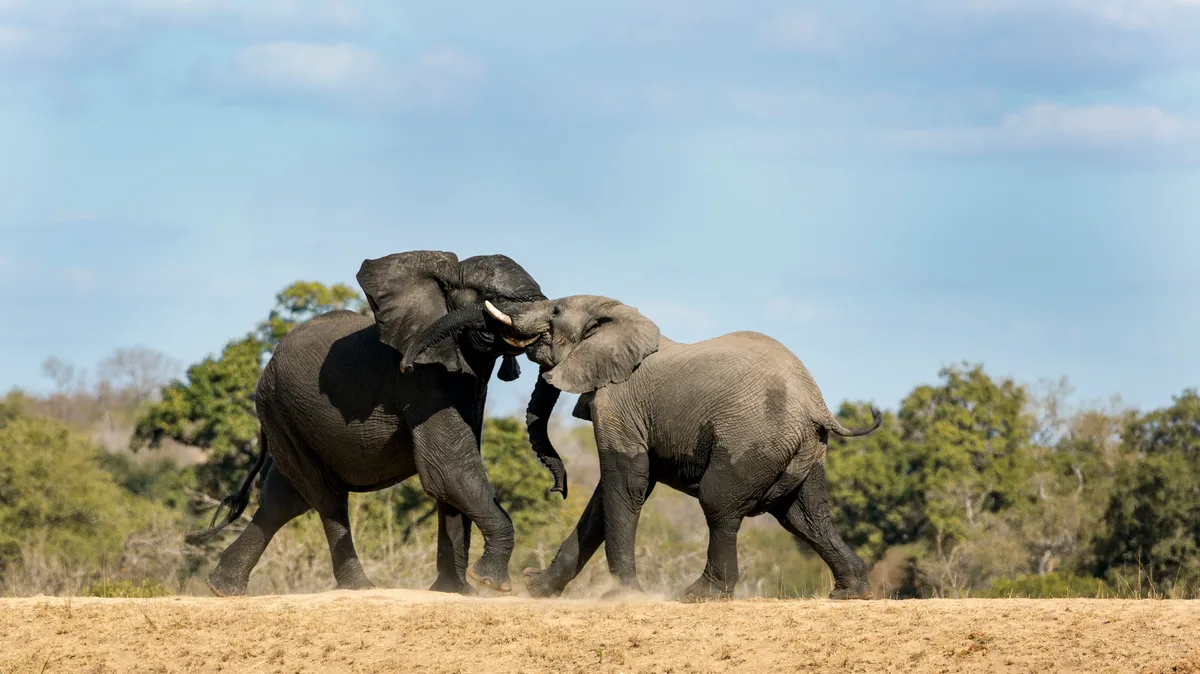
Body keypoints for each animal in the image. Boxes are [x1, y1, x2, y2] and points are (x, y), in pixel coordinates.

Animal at [187, 251, 567, 597]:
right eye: (491, 296)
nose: (557, 490)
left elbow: (453, 477)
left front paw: (457, 592)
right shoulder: (424, 380)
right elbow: (449, 468)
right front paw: (490, 583)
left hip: (287, 418)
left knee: (285, 499)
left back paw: (223, 589)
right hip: (280, 407)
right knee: (326, 498)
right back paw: (359, 588)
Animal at [458, 295, 881, 601]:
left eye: (556, 310)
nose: (556, 490)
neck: (615, 317)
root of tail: (816, 405)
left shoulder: (618, 401)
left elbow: (626, 483)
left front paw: (623, 594)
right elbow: (606, 495)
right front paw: (536, 588)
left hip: (753, 438)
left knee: (719, 503)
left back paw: (699, 595)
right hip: (803, 451)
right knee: (805, 516)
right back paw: (850, 594)